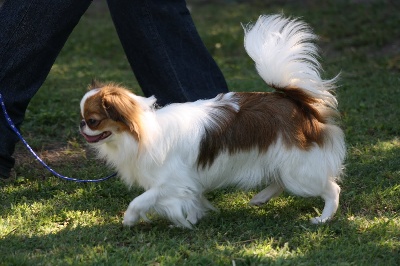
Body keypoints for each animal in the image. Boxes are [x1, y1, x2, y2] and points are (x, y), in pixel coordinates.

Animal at [79, 14, 346, 228]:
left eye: (92, 120)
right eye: (84, 119)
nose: (80, 125)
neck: (140, 133)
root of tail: (295, 101)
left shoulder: (171, 183)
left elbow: (140, 200)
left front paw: (129, 219)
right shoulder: (188, 184)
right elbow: (192, 202)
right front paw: (190, 220)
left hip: (298, 171)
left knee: (332, 189)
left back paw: (323, 218)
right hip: (284, 162)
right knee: (280, 181)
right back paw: (260, 198)